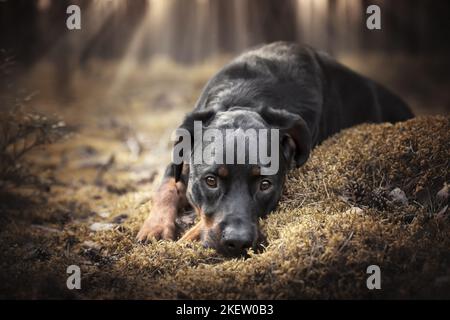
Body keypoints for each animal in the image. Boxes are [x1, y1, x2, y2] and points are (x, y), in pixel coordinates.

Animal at [137, 41, 414, 256]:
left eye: (265, 184)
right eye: (211, 181)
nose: (237, 242)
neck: (245, 97)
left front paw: (190, 236)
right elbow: (165, 187)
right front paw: (155, 227)